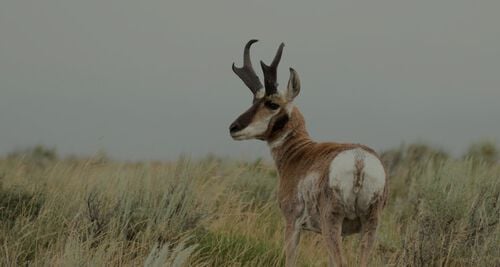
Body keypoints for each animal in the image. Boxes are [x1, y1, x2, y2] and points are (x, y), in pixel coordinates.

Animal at [229, 40, 388, 267]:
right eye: (253, 101)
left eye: (272, 104)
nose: (233, 128)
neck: (300, 152)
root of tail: (359, 160)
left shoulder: (292, 224)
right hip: (370, 225)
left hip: (332, 223)